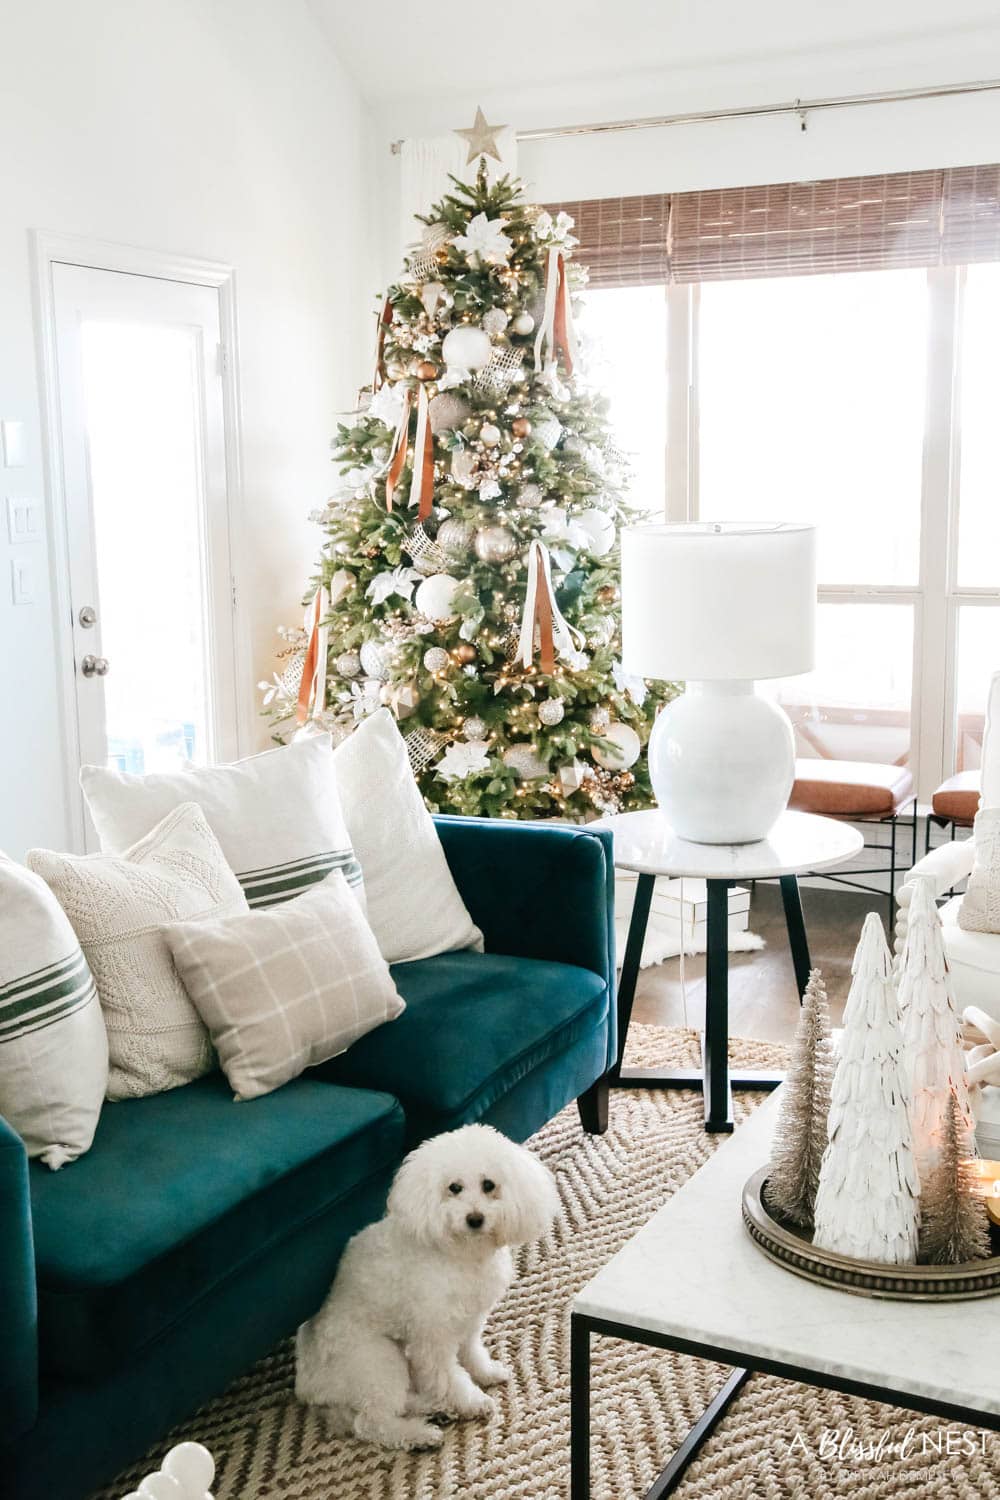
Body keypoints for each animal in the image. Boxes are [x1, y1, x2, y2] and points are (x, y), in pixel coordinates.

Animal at [296, 1122, 563, 1446]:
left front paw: (485, 1373)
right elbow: (448, 1375)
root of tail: (306, 1385)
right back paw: (421, 1434)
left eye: (489, 1185)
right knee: (372, 1422)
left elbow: (471, 1352)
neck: (460, 1253)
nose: (475, 1218)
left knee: (400, 1403)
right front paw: (473, 1402)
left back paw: (435, 1408)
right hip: (379, 1360)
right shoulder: (432, 1337)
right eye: (454, 1188)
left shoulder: (470, 1320)